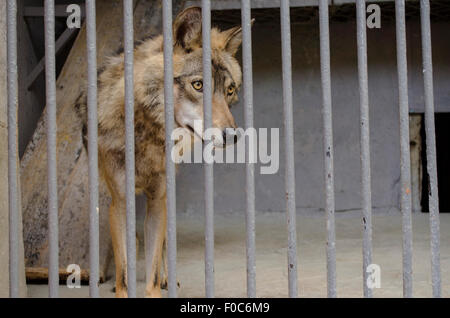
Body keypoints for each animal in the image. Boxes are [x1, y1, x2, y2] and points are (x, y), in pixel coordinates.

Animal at [75, 6, 248, 296]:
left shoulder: (158, 199)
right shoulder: (119, 201)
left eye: (229, 90)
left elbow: (154, 267)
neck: (145, 136)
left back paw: (170, 277)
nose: (233, 136)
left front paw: (159, 283)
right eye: (198, 85)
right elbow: (124, 270)